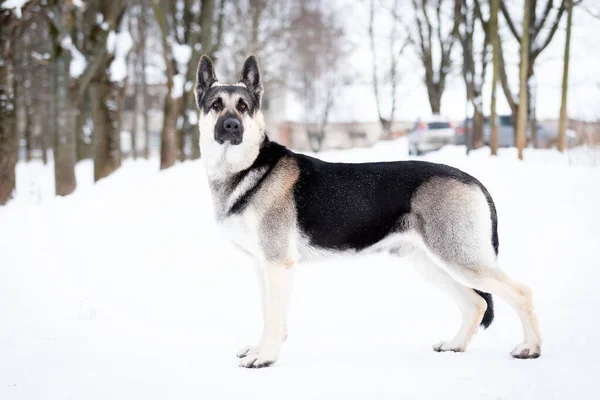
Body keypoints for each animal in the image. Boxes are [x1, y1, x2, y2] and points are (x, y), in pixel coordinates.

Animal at [195, 54, 540, 368]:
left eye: (243, 107)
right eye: (216, 105)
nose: (231, 126)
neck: (247, 167)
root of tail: (473, 180)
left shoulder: (278, 265)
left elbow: (274, 318)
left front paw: (264, 357)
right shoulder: (262, 266)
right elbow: (268, 314)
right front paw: (259, 350)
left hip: (460, 258)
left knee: (521, 293)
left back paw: (530, 348)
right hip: (431, 263)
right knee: (476, 303)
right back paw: (455, 345)